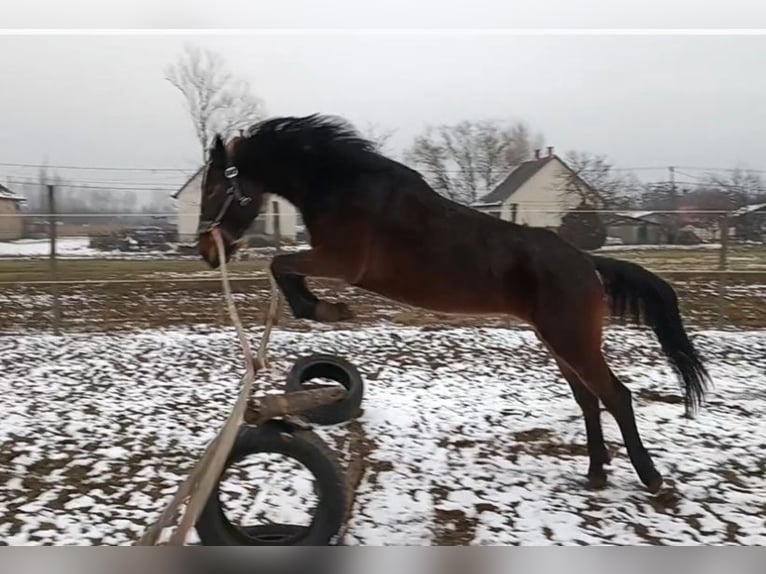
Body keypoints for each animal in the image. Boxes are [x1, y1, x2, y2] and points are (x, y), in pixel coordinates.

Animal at [195, 113, 712, 496]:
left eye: (215, 189)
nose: (206, 251)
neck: (344, 186)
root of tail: (587, 262)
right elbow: (281, 266)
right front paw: (323, 309)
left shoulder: (342, 261)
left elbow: (280, 264)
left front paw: (327, 310)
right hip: (558, 341)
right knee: (588, 399)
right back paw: (596, 474)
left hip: (572, 340)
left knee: (616, 396)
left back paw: (651, 478)